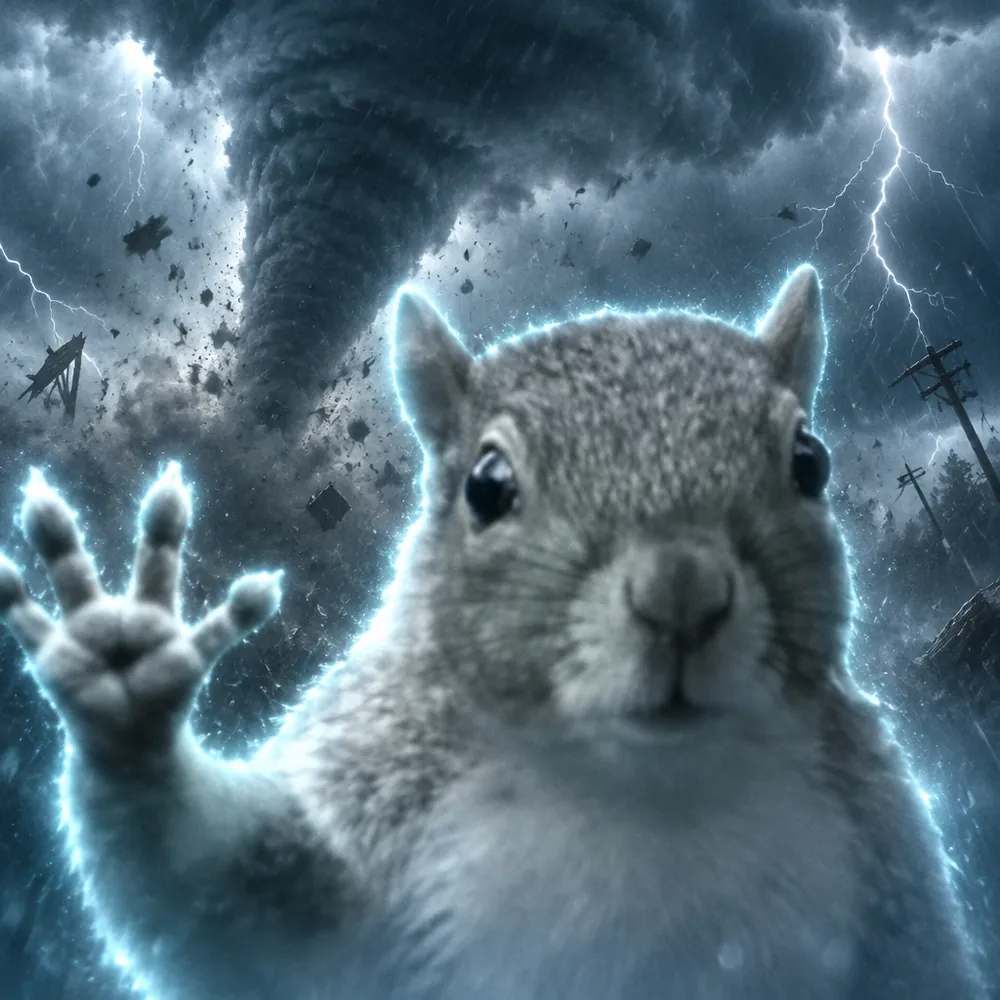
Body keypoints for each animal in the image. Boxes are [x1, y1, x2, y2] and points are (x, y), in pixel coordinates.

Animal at [0, 264, 985, 1000]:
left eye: (809, 462)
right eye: (486, 486)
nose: (682, 593)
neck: (643, 790)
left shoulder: (883, 843)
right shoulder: (378, 784)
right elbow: (226, 902)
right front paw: (124, 669)